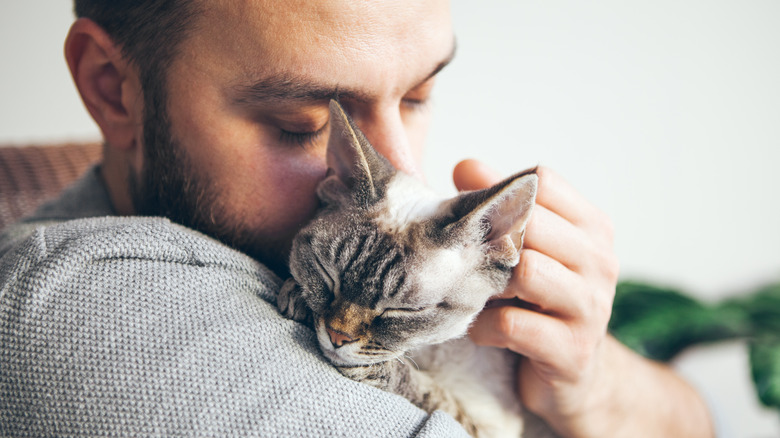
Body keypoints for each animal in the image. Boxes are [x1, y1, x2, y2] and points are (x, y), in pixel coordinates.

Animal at [278, 100, 556, 438]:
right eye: (327, 275)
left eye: (404, 311)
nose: (337, 336)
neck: (427, 350)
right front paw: (297, 295)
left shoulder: (489, 427)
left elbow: (430, 392)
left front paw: (380, 369)